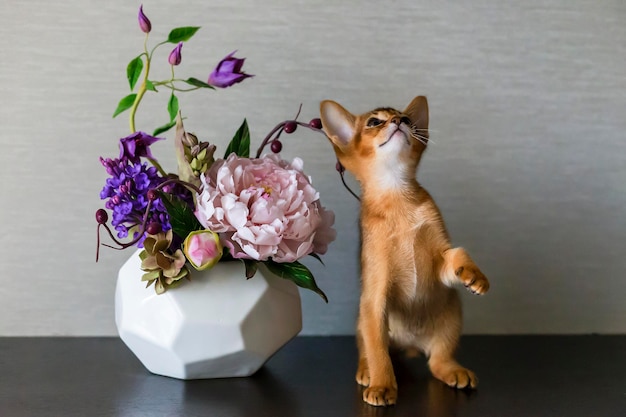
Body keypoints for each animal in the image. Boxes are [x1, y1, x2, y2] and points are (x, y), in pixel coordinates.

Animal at [320, 96, 490, 404]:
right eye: (374, 122)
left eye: (409, 120)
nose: (400, 121)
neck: (397, 196)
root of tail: (410, 344)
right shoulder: (375, 295)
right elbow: (378, 351)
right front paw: (382, 386)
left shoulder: (441, 261)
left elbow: (459, 254)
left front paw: (475, 275)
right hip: (364, 322)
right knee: (369, 349)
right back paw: (367, 372)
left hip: (452, 314)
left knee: (437, 361)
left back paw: (454, 370)